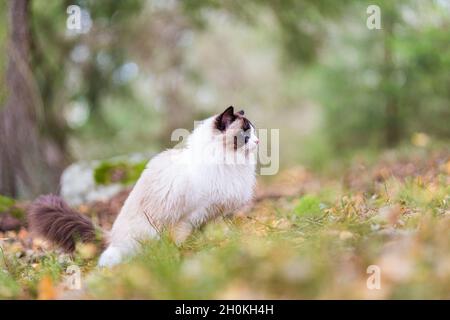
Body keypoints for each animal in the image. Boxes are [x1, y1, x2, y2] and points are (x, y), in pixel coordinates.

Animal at [28, 106, 258, 266]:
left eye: (254, 132)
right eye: (245, 133)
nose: (257, 141)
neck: (230, 163)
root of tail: (111, 236)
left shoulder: (214, 213)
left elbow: (216, 231)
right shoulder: (191, 217)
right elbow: (183, 240)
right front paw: (188, 253)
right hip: (147, 234)